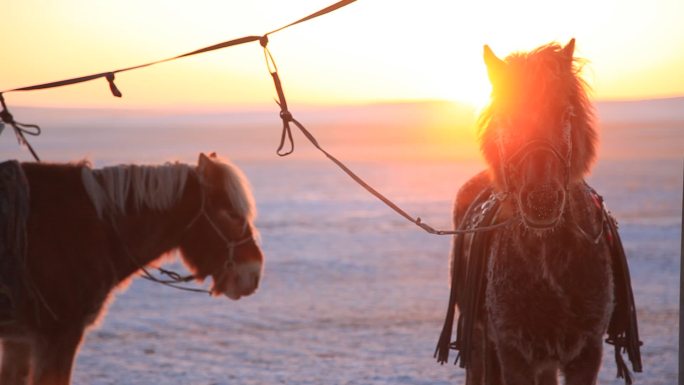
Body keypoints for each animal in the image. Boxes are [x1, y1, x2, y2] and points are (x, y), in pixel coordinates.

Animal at [438, 39, 640, 384]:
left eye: (564, 113)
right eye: (508, 115)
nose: (542, 200)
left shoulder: (586, 353)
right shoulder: (513, 351)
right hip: (477, 340)